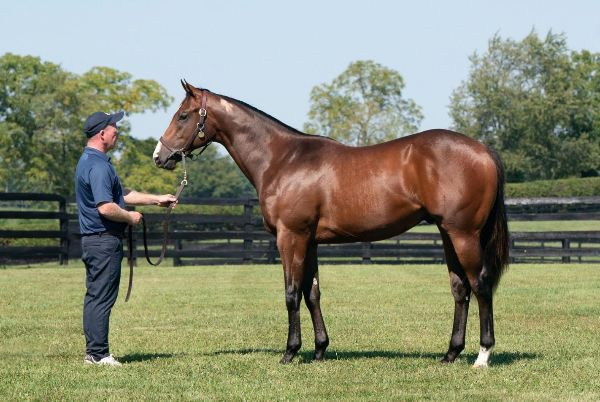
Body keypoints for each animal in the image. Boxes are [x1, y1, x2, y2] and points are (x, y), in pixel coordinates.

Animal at [152, 79, 508, 368]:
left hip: (463, 234)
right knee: (460, 289)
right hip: (448, 234)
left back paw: (482, 355)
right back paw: (450, 354)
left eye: (183, 115)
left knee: (480, 285)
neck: (283, 160)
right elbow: (312, 293)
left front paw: (290, 352)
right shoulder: (309, 240)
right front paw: (319, 350)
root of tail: (483, 149)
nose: (159, 156)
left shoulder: (290, 237)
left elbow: (292, 293)